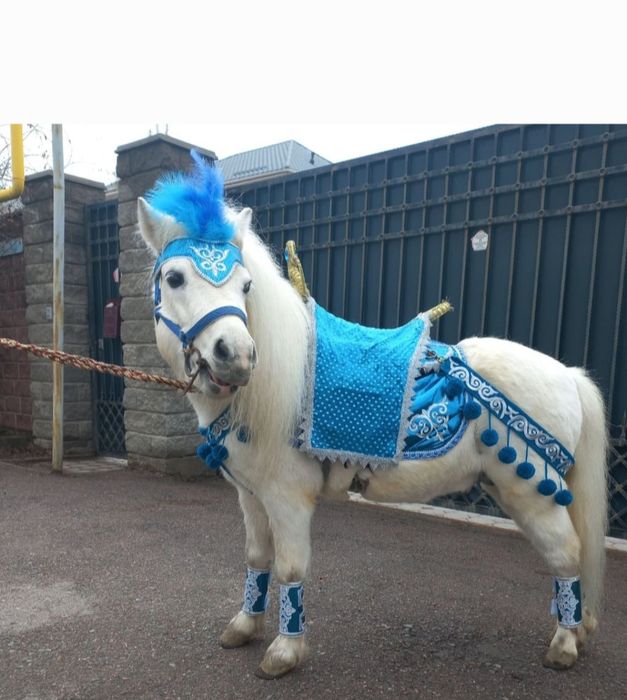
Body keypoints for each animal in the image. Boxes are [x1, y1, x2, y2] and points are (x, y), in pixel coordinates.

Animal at [135, 153, 608, 679]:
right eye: (174, 278)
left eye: (246, 285)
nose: (235, 356)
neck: (270, 389)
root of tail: (567, 374)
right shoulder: (250, 496)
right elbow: (257, 557)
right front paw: (243, 626)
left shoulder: (287, 497)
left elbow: (290, 567)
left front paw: (284, 651)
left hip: (531, 494)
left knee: (567, 553)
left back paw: (564, 643)